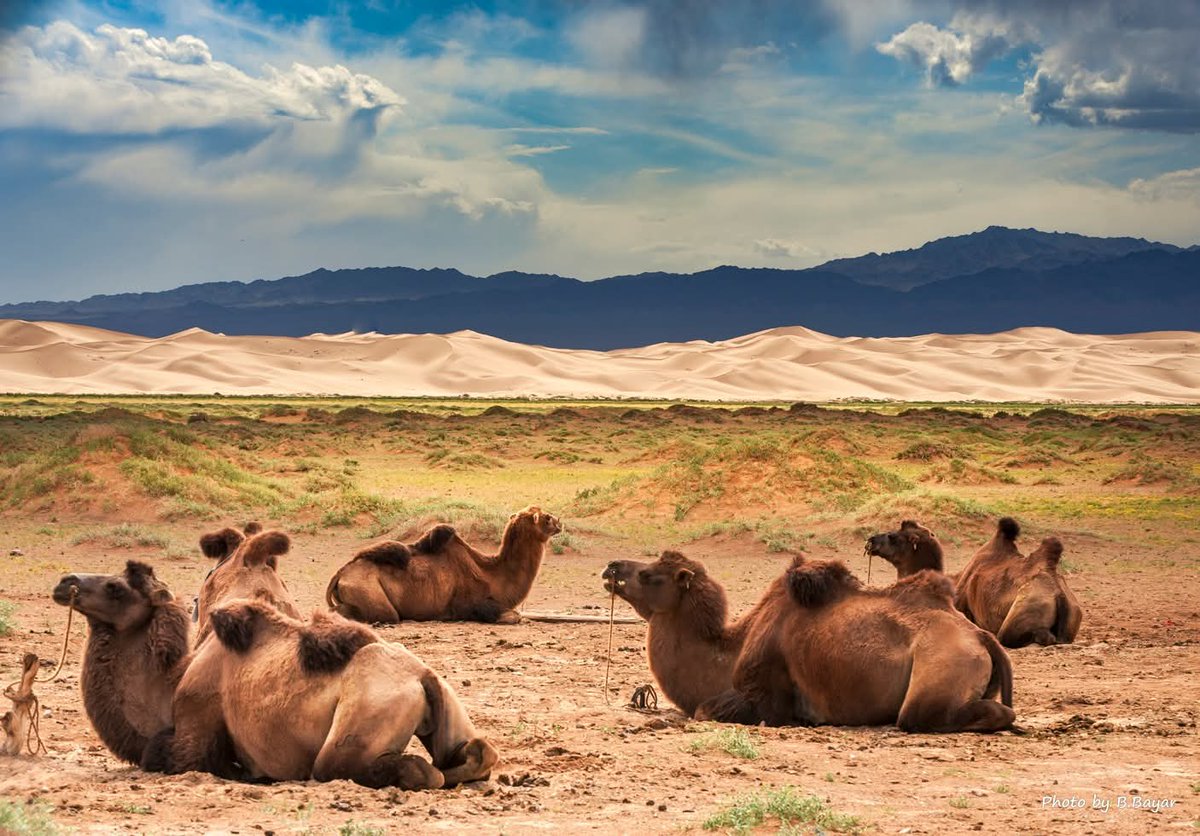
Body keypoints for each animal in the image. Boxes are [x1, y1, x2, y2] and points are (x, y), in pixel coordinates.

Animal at [325, 506, 562, 624]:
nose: (559, 522)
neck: (493, 575)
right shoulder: (470, 604)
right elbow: (514, 616)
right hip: (372, 595)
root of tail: (340, 574)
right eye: (546, 518)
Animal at [603, 551, 1014, 732]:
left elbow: (706, 710)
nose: (611, 568)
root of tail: (980, 636)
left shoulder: (764, 695)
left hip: (940, 672)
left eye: (651, 575)